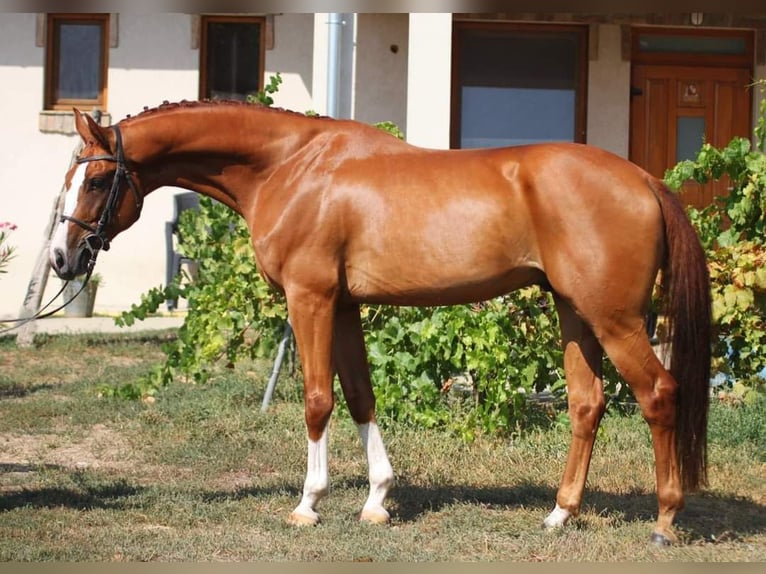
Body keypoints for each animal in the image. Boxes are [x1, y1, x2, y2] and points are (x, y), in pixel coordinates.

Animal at [49, 102, 711, 545]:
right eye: (69, 177)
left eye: (98, 179)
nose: (62, 258)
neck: (291, 167)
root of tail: (644, 179)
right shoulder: (343, 306)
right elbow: (361, 397)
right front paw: (376, 501)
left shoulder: (311, 299)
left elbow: (318, 399)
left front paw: (309, 504)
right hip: (574, 313)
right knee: (587, 402)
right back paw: (559, 514)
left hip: (614, 319)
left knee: (658, 393)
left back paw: (664, 521)